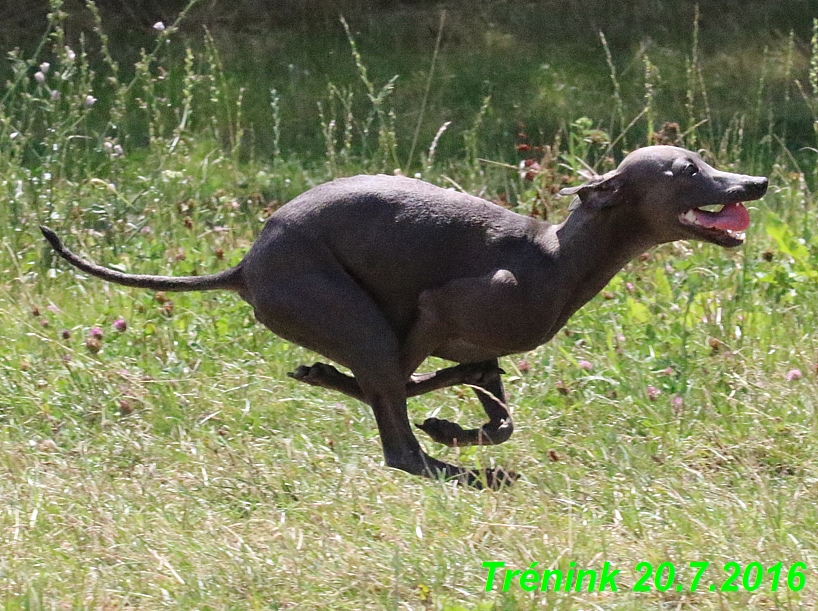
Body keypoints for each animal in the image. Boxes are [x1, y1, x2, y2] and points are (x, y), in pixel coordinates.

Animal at [39, 146, 764, 490]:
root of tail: (245, 264)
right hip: (352, 317)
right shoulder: (436, 309)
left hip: (364, 329)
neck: (559, 256)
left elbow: (495, 414)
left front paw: (456, 424)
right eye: (687, 168)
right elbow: (423, 389)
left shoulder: (474, 345)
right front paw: (449, 430)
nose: (755, 183)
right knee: (398, 448)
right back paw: (467, 472)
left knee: (393, 408)